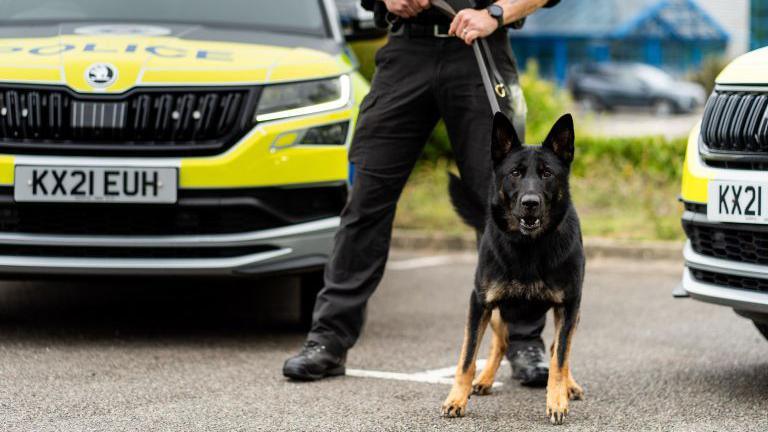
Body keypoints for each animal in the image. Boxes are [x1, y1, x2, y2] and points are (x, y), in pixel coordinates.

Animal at [440, 112, 584, 426]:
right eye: (515, 173)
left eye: (547, 173)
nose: (530, 203)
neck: (528, 246)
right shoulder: (479, 303)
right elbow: (467, 358)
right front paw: (456, 398)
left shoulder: (568, 306)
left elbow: (560, 358)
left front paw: (557, 400)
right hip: (497, 312)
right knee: (502, 342)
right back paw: (484, 379)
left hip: (572, 314)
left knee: (558, 349)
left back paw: (570, 385)